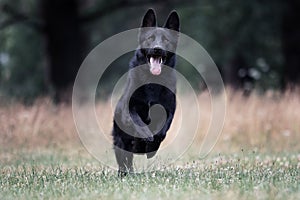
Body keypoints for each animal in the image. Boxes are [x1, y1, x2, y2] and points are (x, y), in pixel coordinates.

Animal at [112, 9, 178, 175]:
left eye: (166, 40)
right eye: (150, 38)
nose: (157, 49)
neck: (152, 80)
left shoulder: (169, 110)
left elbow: (161, 131)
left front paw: (151, 147)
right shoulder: (129, 109)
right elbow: (138, 122)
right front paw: (145, 137)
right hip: (120, 143)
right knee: (125, 162)